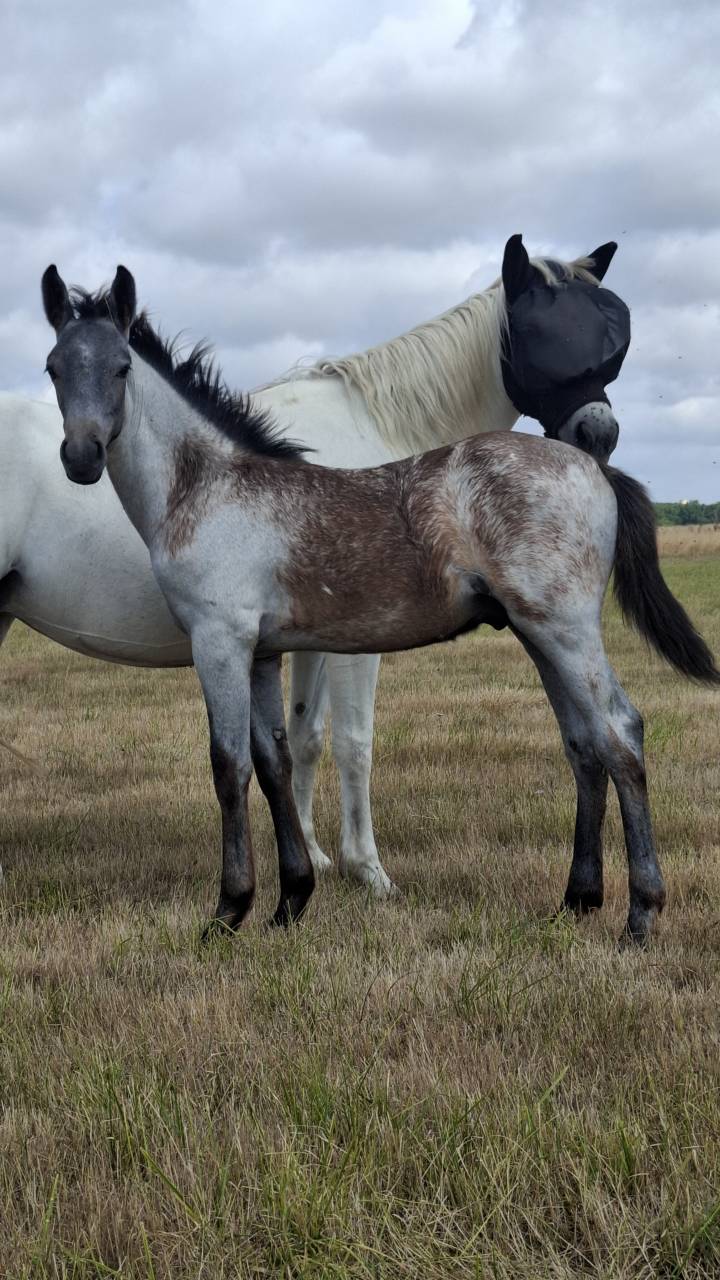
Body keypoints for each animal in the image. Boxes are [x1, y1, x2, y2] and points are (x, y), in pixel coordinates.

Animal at [40, 264, 718, 945]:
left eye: (122, 367)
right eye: (52, 368)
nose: (81, 457)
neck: (208, 488)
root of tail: (594, 467)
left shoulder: (220, 643)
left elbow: (229, 767)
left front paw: (229, 912)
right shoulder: (260, 653)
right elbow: (274, 760)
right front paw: (291, 902)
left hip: (566, 630)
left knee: (619, 733)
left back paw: (640, 915)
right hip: (538, 634)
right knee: (583, 744)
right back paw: (576, 900)